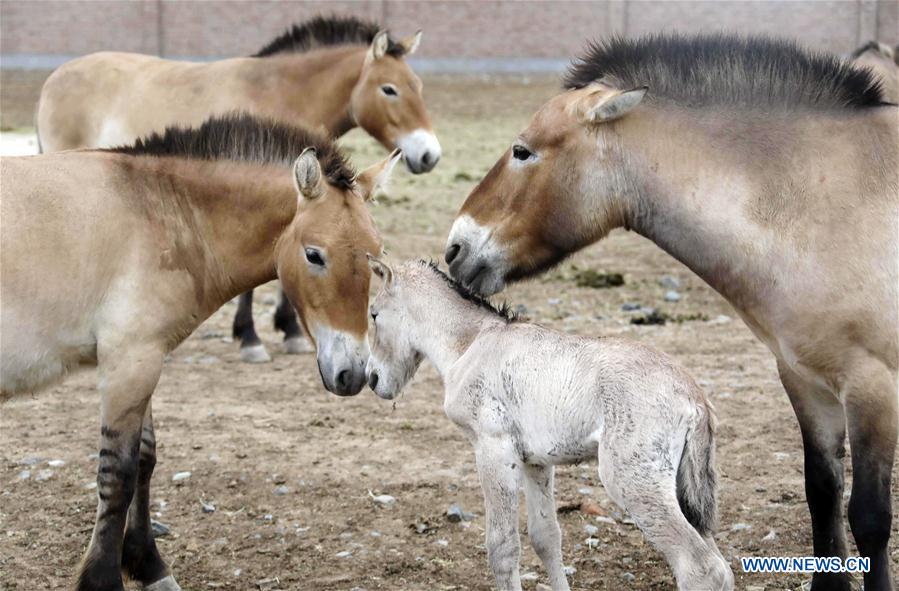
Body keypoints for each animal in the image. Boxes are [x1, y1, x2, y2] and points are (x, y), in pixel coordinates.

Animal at [0, 113, 399, 591]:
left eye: (376, 256)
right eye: (314, 255)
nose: (352, 375)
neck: (158, 213)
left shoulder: (144, 361)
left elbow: (145, 460)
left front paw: (149, 565)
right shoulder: (128, 363)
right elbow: (119, 473)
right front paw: (104, 579)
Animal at [35, 15, 440, 363]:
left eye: (419, 87)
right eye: (389, 89)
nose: (429, 155)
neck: (279, 93)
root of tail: (55, 78)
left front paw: (289, 331)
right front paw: (250, 338)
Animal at [365, 260, 732, 591]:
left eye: (373, 314)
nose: (371, 379)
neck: (471, 343)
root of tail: (694, 395)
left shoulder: (493, 449)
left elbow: (502, 547)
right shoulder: (536, 462)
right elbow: (546, 538)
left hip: (634, 482)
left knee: (702, 568)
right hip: (683, 490)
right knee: (721, 567)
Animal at [445, 34, 897, 591]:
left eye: (522, 150)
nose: (455, 248)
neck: (824, 204)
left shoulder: (873, 387)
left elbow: (870, 516)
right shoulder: (806, 382)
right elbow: (822, 493)